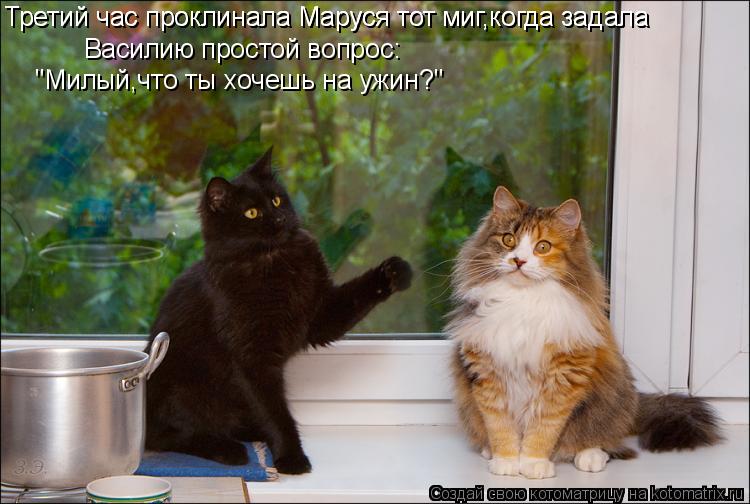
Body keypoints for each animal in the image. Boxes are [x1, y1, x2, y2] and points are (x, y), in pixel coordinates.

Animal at [145, 148, 412, 474]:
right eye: (251, 213)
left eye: (275, 200)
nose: (281, 216)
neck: (275, 258)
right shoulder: (252, 356)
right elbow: (274, 411)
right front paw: (291, 457)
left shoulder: (321, 315)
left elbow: (357, 294)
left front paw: (394, 273)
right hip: (186, 389)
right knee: (169, 435)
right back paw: (228, 449)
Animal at [447, 186, 721, 479]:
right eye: (509, 240)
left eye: (542, 246)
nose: (519, 260)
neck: (523, 300)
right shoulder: (486, 372)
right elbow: (499, 425)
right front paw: (506, 460)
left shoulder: (565, 375)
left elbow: (544, 428)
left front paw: (533, 463)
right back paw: (488, 450)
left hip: (609, 400)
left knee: (602, 439)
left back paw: (590, 457)